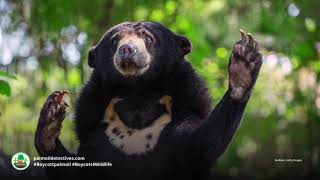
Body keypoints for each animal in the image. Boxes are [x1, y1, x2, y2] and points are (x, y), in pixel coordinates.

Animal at [34, 21, 262, 180]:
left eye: (148, 38)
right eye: (115, 41)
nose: (127, 49)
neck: (138, 92)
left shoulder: (187, 101)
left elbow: (199, 144)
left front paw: (244, 63)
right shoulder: (92, 123)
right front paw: (51, 117)